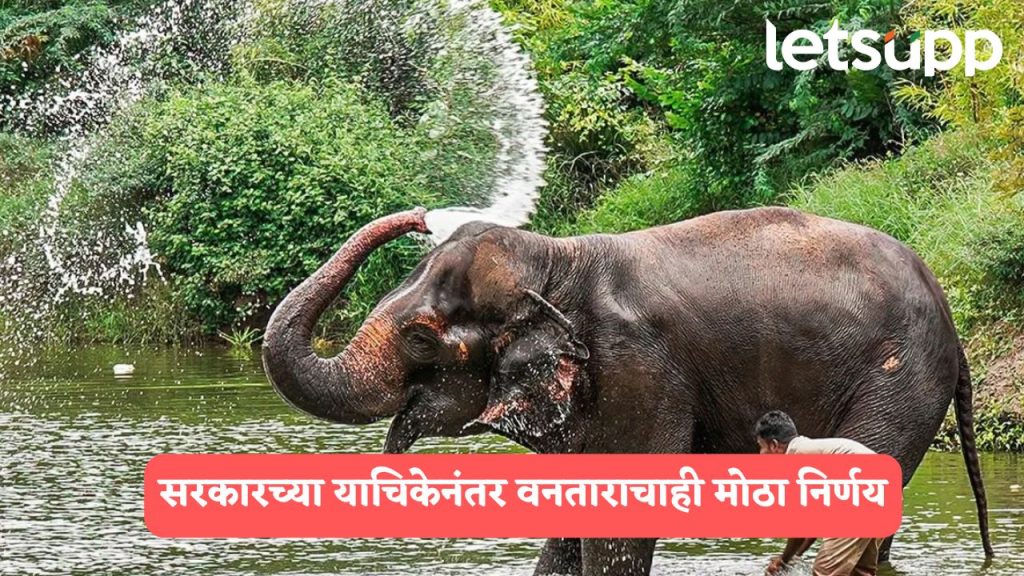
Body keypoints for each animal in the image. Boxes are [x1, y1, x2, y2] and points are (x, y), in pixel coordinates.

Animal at [262, 206, 993, 576]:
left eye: (418, 338)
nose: (418, 217)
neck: (556, 258)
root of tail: (952, 321)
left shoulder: (637, 370)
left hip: (899, 380)